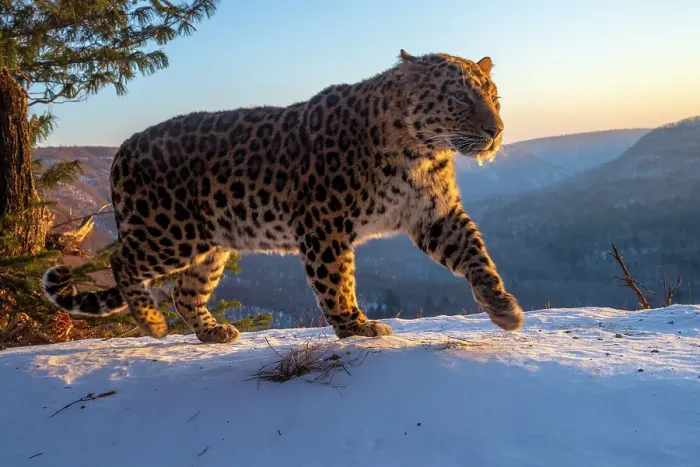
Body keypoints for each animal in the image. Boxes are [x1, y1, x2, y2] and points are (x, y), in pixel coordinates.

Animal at [42, 49, 525, 344]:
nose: (497, 131)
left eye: (495, 98)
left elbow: (475, 254)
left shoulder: (434, 215)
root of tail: (121, 151)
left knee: (184, 291)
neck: (421, 152)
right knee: (122, 262)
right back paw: (152, 321)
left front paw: (502, 307)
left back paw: (212, 331)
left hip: (208, 245)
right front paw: (355, 326)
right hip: (168, 232)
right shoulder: (324, 222)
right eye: (460, 97)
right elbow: (336, 279)